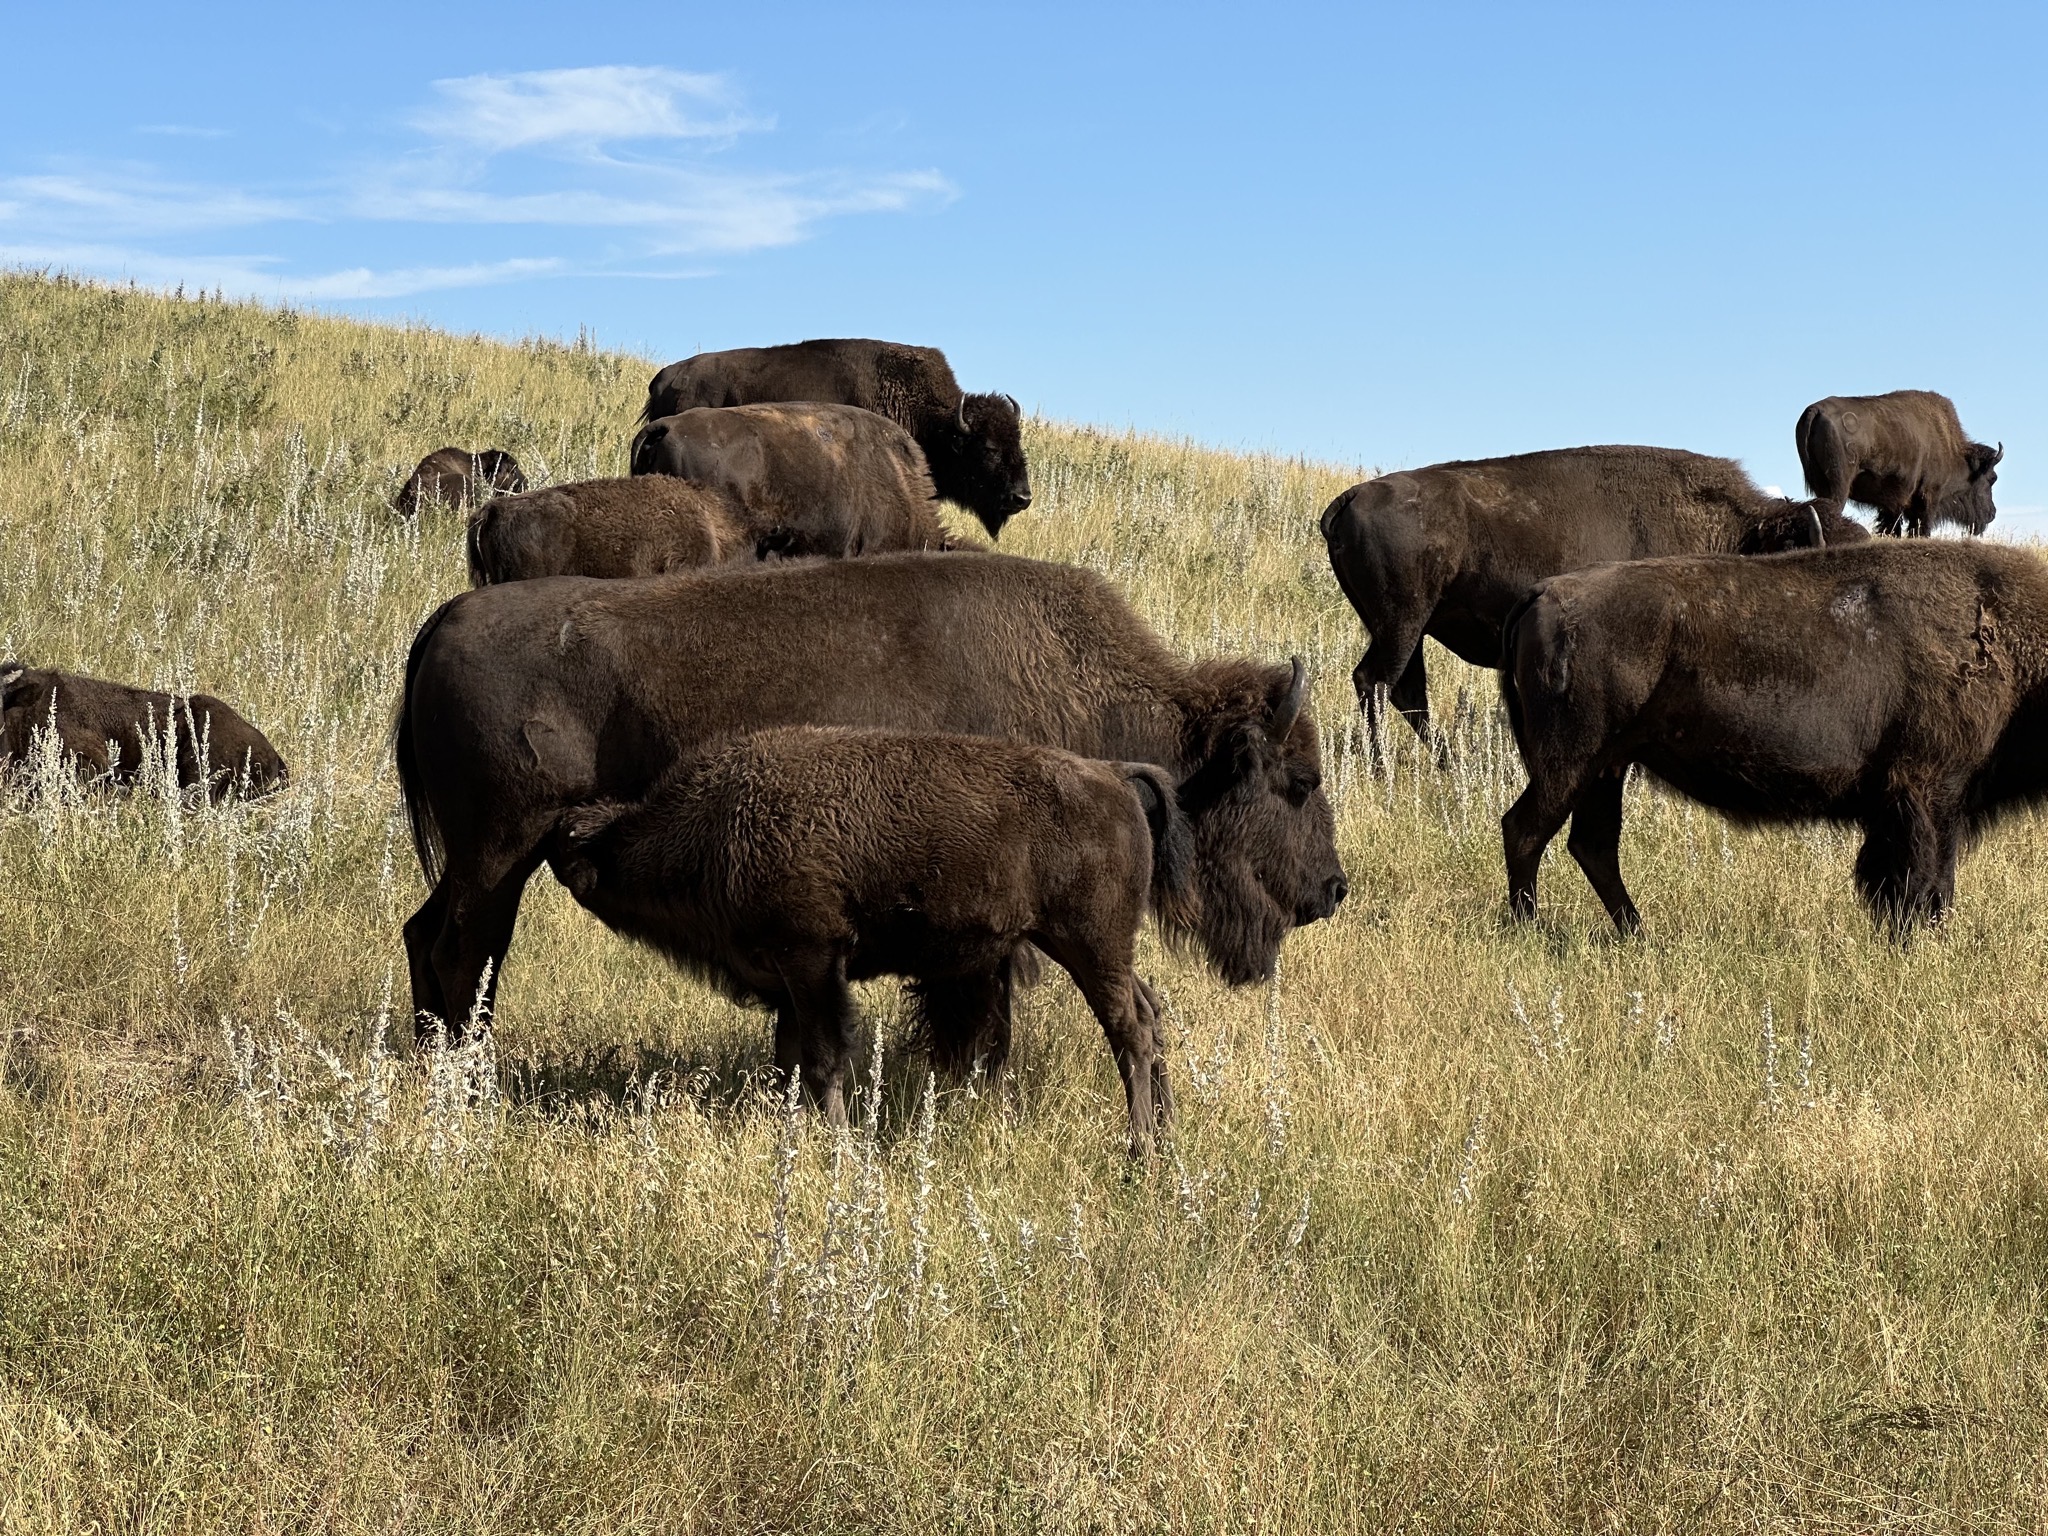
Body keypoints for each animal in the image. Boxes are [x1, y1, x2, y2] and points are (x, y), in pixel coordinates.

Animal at [396, 553, 1346, 1058]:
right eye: (1298, 783)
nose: (1333, 889)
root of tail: (446, 619)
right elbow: (977, 1019)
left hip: (487, 861)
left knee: (432, 936)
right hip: (501, 849)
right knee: (462, 949)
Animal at [551, 727, 1193, 1153]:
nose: (559, 861)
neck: (714, 821)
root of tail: (1113, 775)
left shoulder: (813, 960)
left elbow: (824, 1059)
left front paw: (839, 1143)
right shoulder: (790, 980)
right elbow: (788, 1060)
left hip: (1090, 942)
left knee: (1129, 1029)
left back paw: (1139, 1149)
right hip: (1096, 948)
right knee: (1150, 1010)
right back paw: (1165, 1133)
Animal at [1321, 445, 1869, 754]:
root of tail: (1348, 499)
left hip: (1407, 627)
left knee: (1405, 693)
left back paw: (1445, 764)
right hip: (1402, 622)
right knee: (1376, 682)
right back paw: (1385, 772)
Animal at [1499, 541, 2048, 933]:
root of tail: (1542, 592)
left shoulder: (1902, 804)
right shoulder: (1931, 790)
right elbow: (1929, 880)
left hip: (1605, 769)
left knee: (1591, 845)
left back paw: (1639, 934)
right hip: (1570, 764)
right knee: (1525, 830)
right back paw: (1535, 932)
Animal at [1795, 390, 2002, 537]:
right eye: (1992, 478)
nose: (1992, 513)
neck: (1951, 450)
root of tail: (1815, 410)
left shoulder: (1893, 504)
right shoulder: (1928, 497)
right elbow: (1920, 528)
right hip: (1838, 488)